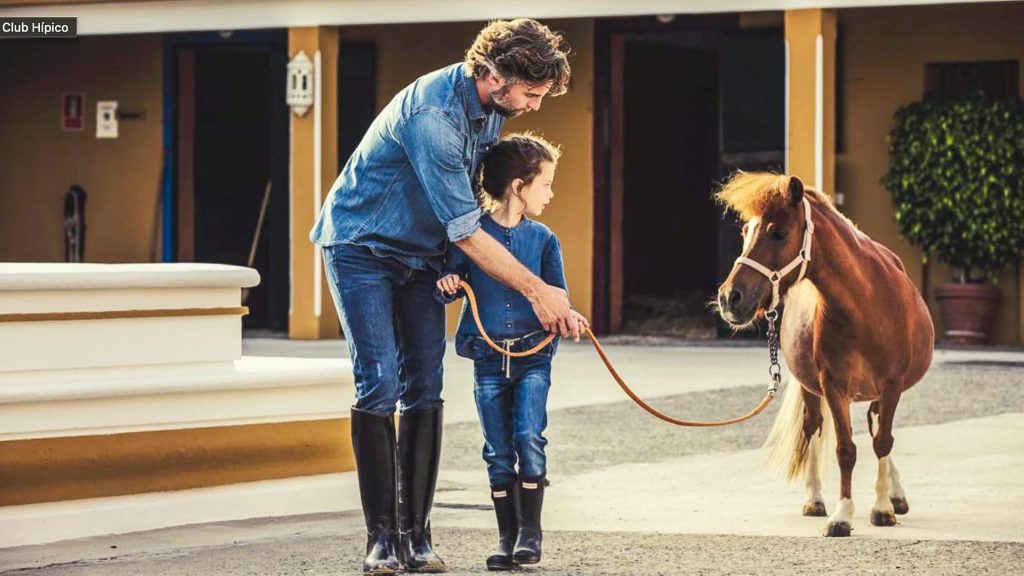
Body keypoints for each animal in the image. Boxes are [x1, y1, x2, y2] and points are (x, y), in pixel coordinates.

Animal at [716, 171, 933, 532]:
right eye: (745, 232)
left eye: (779, 233)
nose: (729, 298)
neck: (866, 307)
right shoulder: (832, 385)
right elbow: (845, 449)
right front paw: (842, 514)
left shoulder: (891, 385)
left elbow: (882, 441)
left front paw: (882, 508)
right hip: (811, 389)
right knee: (813, 427)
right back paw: (815, 499)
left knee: (877, 429)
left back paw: (895, 495)